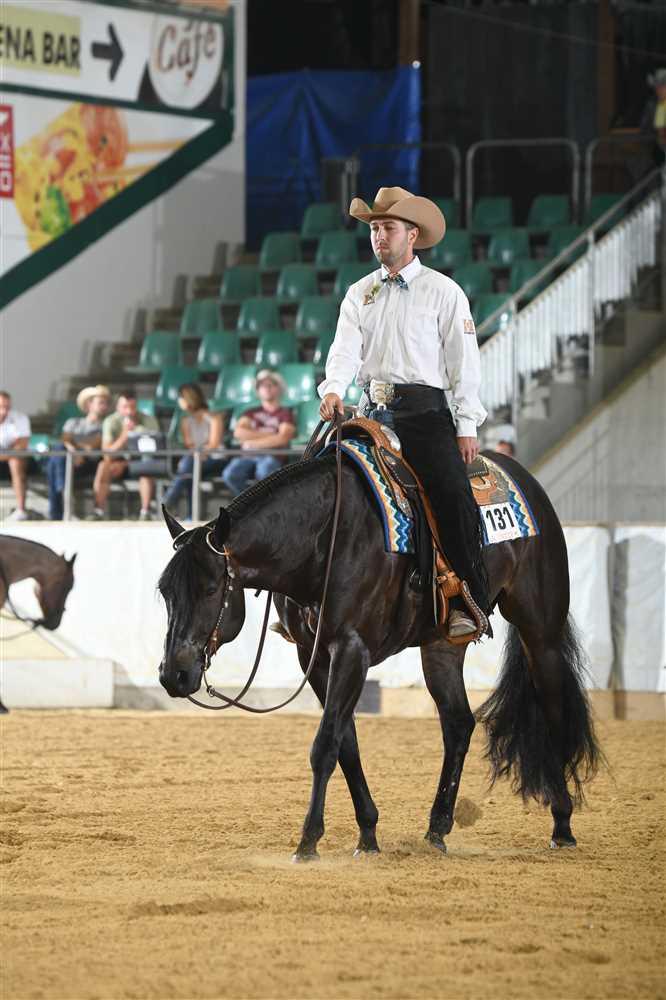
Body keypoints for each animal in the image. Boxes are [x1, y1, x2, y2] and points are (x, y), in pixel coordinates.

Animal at [157, 447, 601, 861]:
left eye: (210, 589)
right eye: (164, 590)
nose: (172, 674)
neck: (325, 538)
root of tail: (523, 475)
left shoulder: (352, 649)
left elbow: (325, 744)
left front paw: (307, 842)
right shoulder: (313, 656)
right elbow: (345, 743)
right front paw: (367, 835)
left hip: (540, 630)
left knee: (553, 709)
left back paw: (562, 823)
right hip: (441, 644)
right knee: (458, 723)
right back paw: (437, 828)